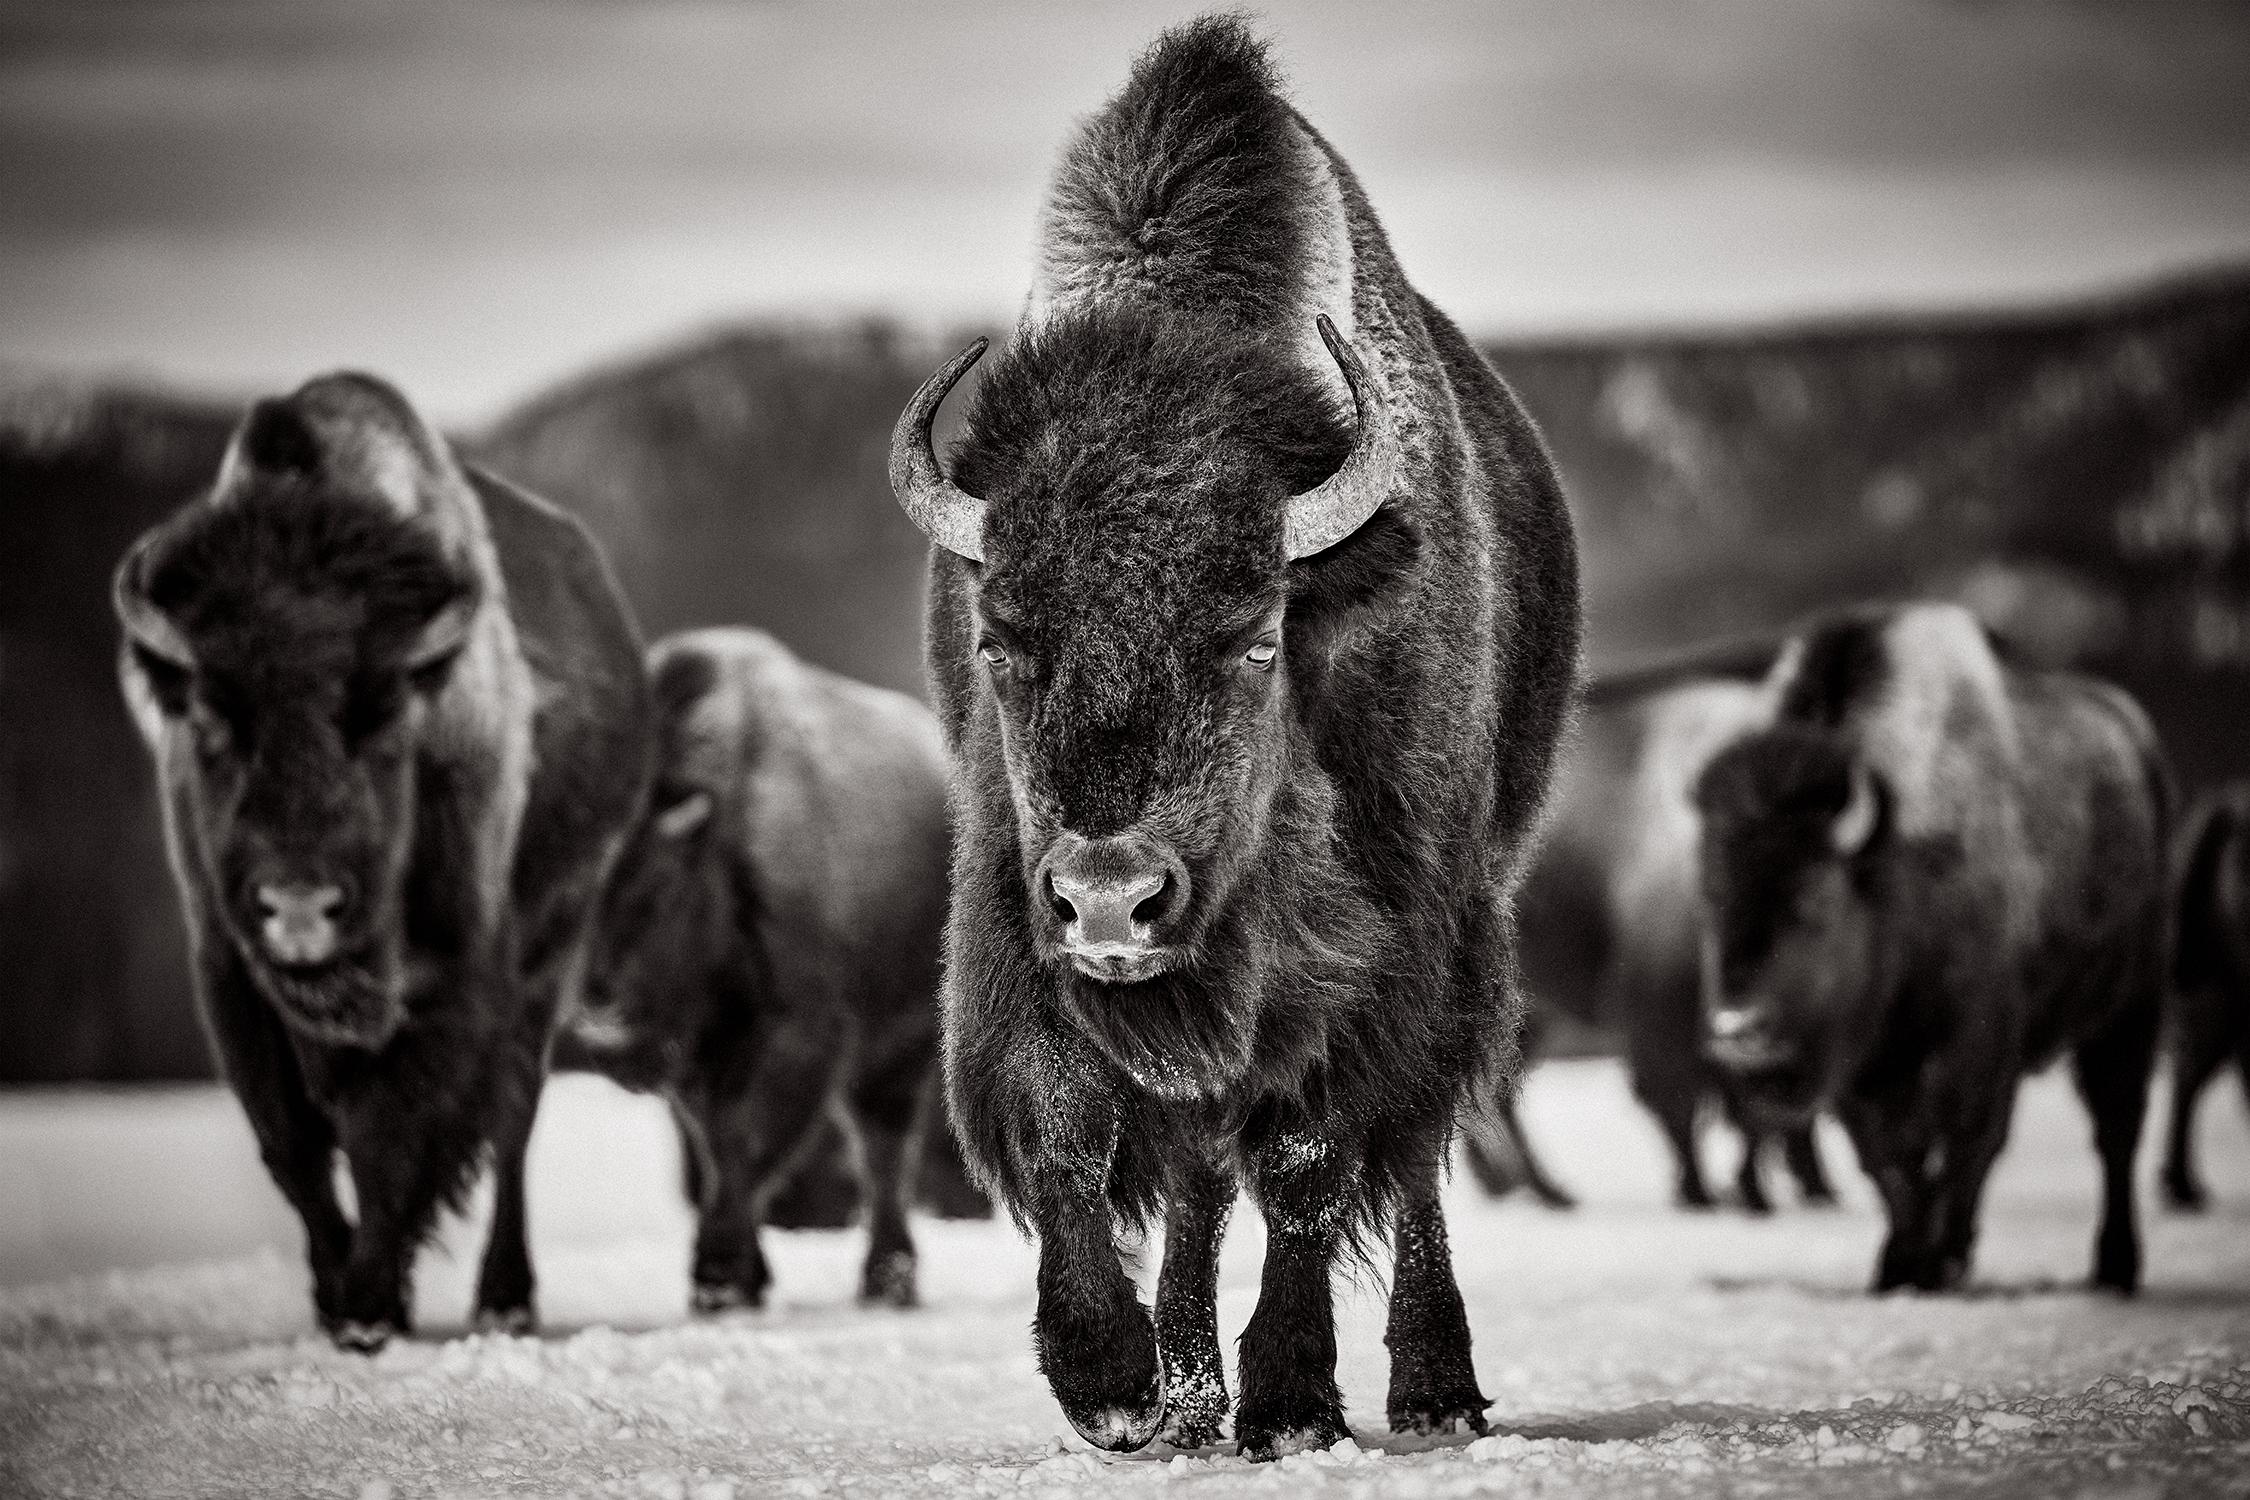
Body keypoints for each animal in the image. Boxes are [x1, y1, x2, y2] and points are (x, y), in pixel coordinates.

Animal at [111, 373, 652, 1349]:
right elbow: (293, 1146)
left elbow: (389, 1138)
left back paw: (505, 1298)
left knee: (513, 1119)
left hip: (552, 951)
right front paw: (345, 1298)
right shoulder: (231, 980)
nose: (298, 905)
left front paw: (368, 1308)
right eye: (211, 721)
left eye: (384, 721)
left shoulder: (452, 974)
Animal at [567, 634, 963, 1313]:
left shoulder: (800, 1032)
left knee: (884, 1147)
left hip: (899, 1046)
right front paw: (739, 1273)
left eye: (661, 893)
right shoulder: (702, 1053)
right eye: (578, 905)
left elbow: (748, 1142)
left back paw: (888, 1277)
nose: (603, 1036)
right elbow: (718, 1142)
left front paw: (719, 1276)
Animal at [882, 17, 1584, 1457]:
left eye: (1255, 636)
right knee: (1204, 1173)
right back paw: (1191, 1395)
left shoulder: (1381, 956)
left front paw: (1296, 1404)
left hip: (1474, 922)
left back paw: (1427, 1390)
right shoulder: (1012, 927)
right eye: (1000, 642)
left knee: (1409, 1157)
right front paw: (1113, 1387)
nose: (1110, 898)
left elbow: (1314, 1160)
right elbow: (1073, 1128)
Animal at [1692, 602, 2169, 1295]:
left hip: (2131, 1005)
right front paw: (1899, 1264)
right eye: (1710, 898)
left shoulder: (1977, 1037)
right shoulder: (1863, 1064)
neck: (1892, 866)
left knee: (2117, 1126)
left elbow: (1964, 1139)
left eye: (1815, 902)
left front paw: (1942, 1261)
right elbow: (1889, 1156)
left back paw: (2116, 1265)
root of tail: (2136, 738)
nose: (1740, 1034)